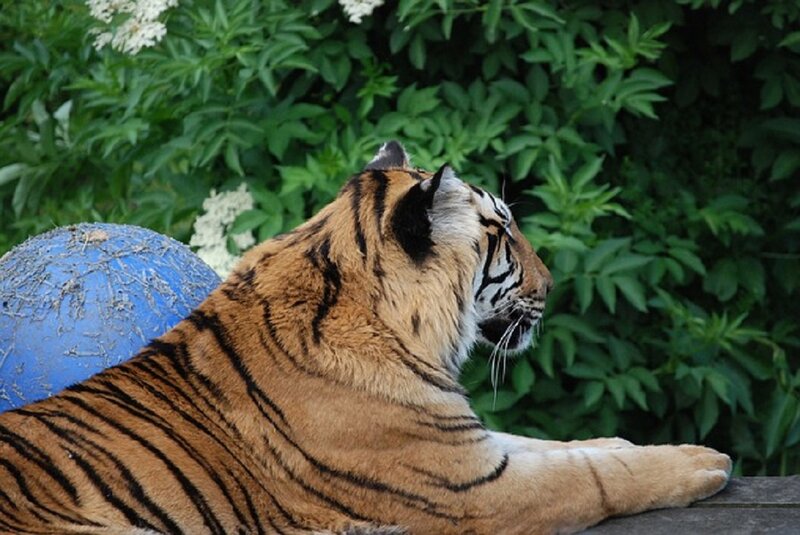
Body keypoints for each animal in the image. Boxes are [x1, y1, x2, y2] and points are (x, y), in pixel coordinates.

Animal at [0, 141, 730, 535]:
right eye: (501, 233)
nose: (552, 286)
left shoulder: (462, 442)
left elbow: (560, 447)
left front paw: (623, 440)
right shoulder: (472, 489)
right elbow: (596, 477)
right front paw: (701, 461)